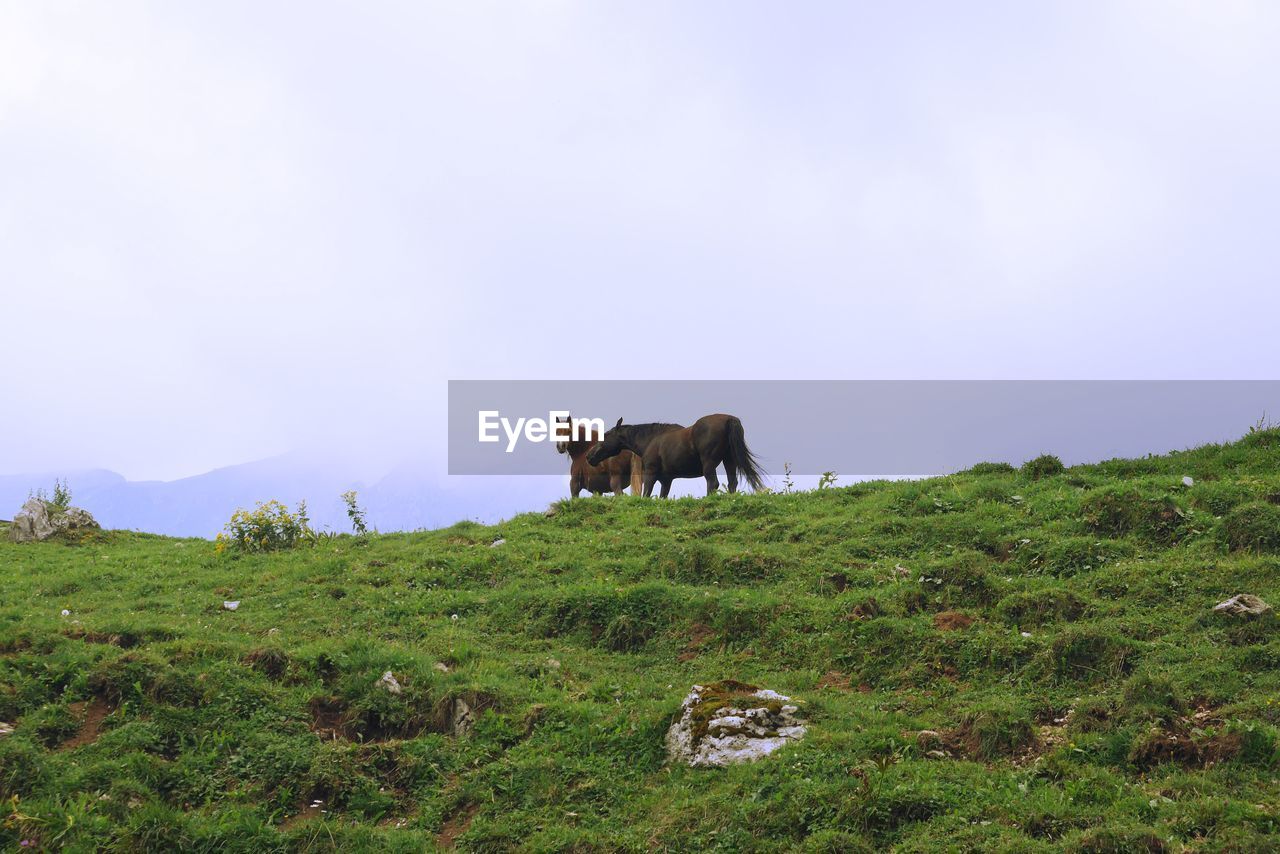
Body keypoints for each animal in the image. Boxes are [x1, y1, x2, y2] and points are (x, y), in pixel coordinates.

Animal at [586, 414, 762, 496]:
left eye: (606, 435)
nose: (589, 456)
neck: (651, 439)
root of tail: (729, 420)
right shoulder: (666, 480)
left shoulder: (650, 474)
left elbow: (646, 494)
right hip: (729, 460)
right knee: (732, 483)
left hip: (709, 463)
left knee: (713, 483)